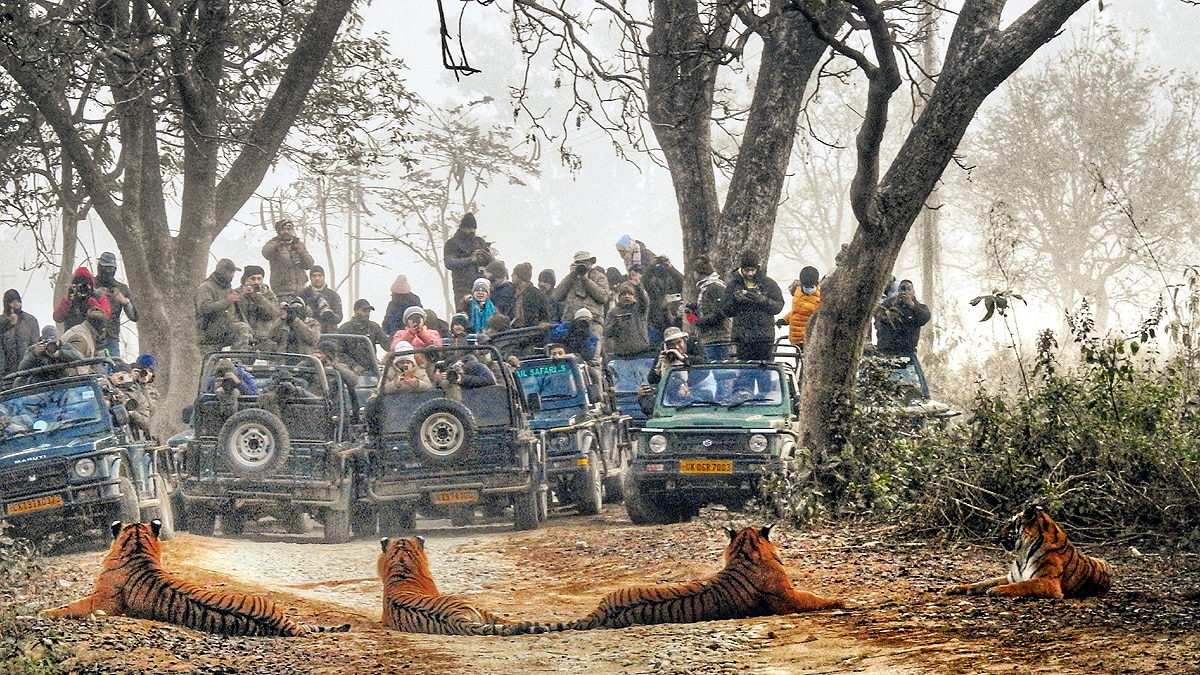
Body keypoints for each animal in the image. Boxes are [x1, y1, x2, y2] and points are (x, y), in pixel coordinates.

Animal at [40, 520, 352, 636]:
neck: (138, 547)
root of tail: (284, 625)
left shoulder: (102, 600)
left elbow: (72, 606)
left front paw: (44, 612)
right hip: (278, 608)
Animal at [944, 505, 1112, 599]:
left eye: (1010, 524)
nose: (997, 537)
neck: (1023, 553)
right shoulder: (1010, 577)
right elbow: (982, 582)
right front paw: (955, 587)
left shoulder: (1048, 582)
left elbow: (1022, 585)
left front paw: (996, 590)